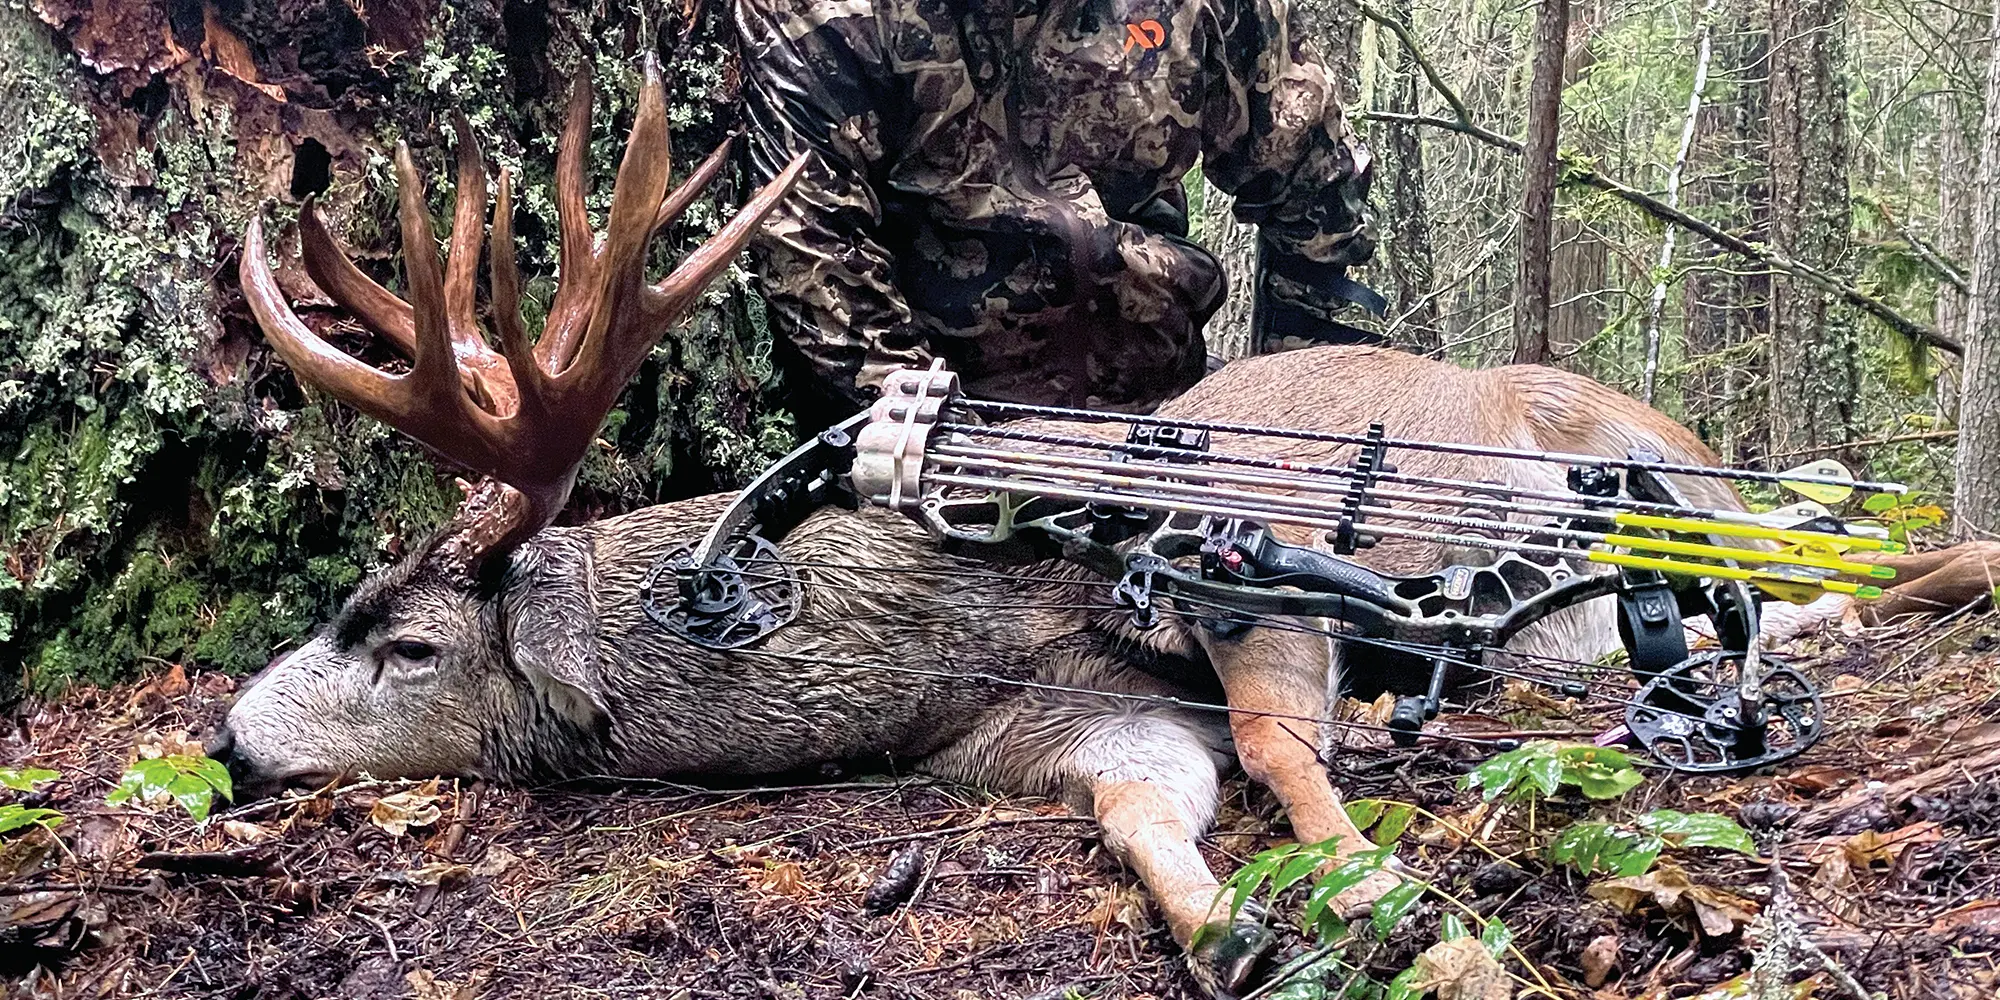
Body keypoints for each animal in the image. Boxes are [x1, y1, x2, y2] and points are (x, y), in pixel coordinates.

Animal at [211, 58, 1992, 996]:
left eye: (404, 641)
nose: (226, 739)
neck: (929, 629)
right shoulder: (1056, 735)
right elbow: (1152, 814)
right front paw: (1244, 933)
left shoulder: (1257, 582)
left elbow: (1279, 745)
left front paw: (1394, 904)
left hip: (1651, 478)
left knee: (1834, 558)